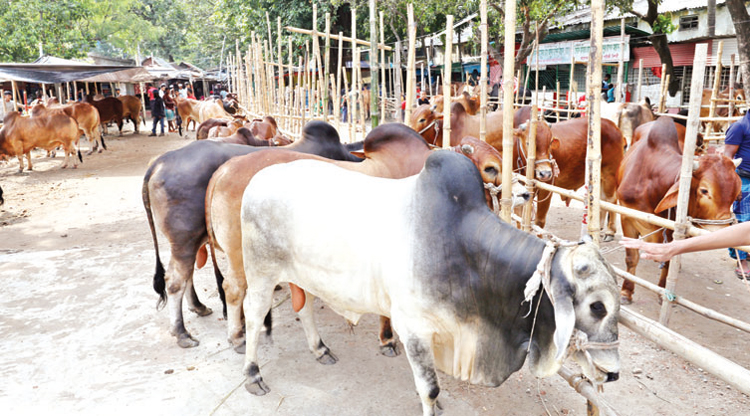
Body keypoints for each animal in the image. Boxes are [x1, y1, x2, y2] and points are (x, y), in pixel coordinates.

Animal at [203, 124, 524, 354]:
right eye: (490, 168)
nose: (524, 193)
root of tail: (223, 171)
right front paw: (388, 340)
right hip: (239, 254)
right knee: (233, 289)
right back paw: (237, 337)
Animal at [616, 117, 748, 302]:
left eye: (736, 194)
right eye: (704, 191)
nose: (720, 231)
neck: (651, 184)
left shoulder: (673, 231)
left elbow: (669, 260)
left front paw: (663, 291)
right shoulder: (627, 217)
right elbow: (631, 258)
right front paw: (626, 292)